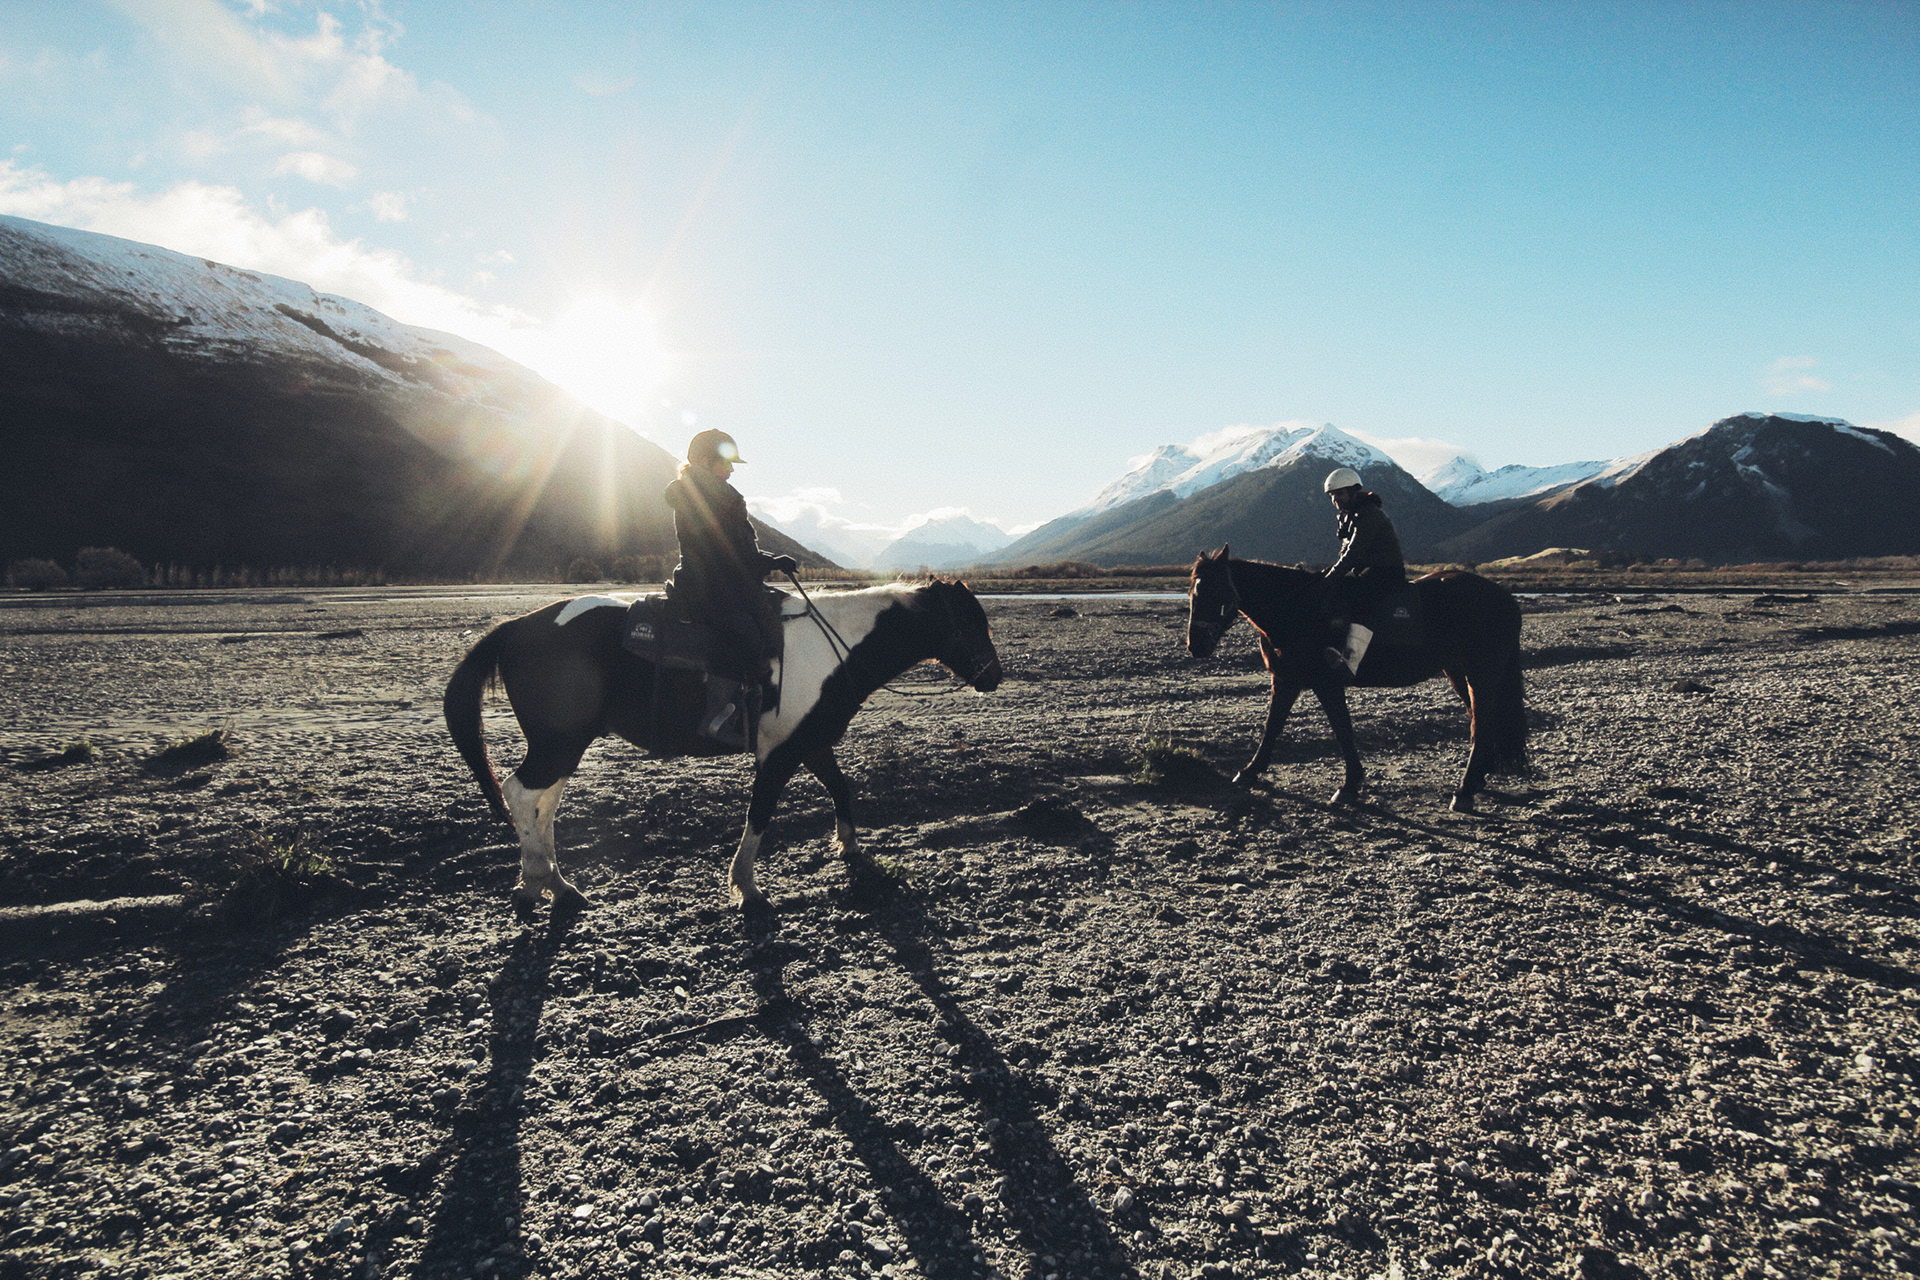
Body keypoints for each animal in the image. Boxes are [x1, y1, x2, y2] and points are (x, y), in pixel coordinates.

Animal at [443, 579, 1003, 914]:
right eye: (971, 622)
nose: (994, 676)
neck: (833, 649)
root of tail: (517, 626)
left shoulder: (811, 742)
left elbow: (842, 787)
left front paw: (848, 847)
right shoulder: (780, 752)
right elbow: (760, 813)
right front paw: (746, 886)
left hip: (564, 747)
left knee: (544, 805)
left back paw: (556, 884)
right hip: (557, 744)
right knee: (520, 794)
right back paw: (538, 876)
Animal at [1185, 547, 1526, 811]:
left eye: (1216, 591)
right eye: (1192, 593)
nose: (1195, 645)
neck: (1297, 608)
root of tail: (1505, 597)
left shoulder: (1326, 682)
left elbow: (1342, 729)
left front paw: (1349, 785)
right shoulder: (1286, 679)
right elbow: (1273, 726)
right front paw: (1251, 771)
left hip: (1482, 674)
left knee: (1481, 724)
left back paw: (1465, 791)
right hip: (1459, 672)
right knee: (1480, 720)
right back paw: (1477, 781)